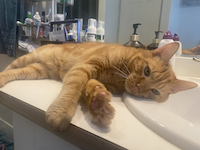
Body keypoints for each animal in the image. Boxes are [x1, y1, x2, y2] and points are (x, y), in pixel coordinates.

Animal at [0, 41, 197, 131]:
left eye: (155, 91)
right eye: (147, 71)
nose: (139, 88)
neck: (119, 75)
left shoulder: (92, 76)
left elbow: (92, 88)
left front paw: (99, 107)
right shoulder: (84, 68)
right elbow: (72, 89)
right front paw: (61, 111)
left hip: (36, 70)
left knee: (16, 72)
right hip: (27, 59)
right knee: (9, 68)